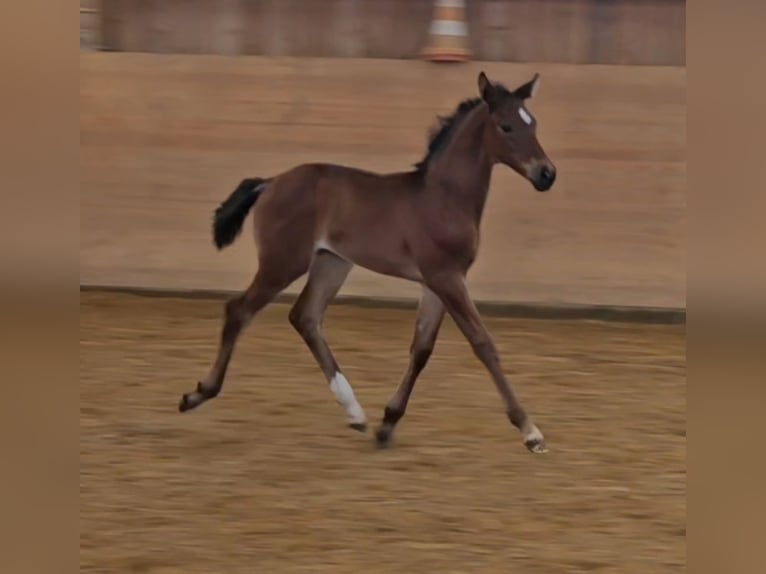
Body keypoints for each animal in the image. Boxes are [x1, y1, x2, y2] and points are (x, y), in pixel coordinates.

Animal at [180, 72, 560, 454]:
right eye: (506, 126)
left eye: (533, 123)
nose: (547, 174)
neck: (444, 198)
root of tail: (270, 183)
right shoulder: (446, 277)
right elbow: (483, 343)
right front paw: (530, 432)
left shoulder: (439, 281)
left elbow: (422, 348)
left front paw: (387, 423)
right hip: (283, 262)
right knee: (239, 310)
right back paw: (197, 395)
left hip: (332, 263)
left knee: (306, 317)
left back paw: (355, 413)